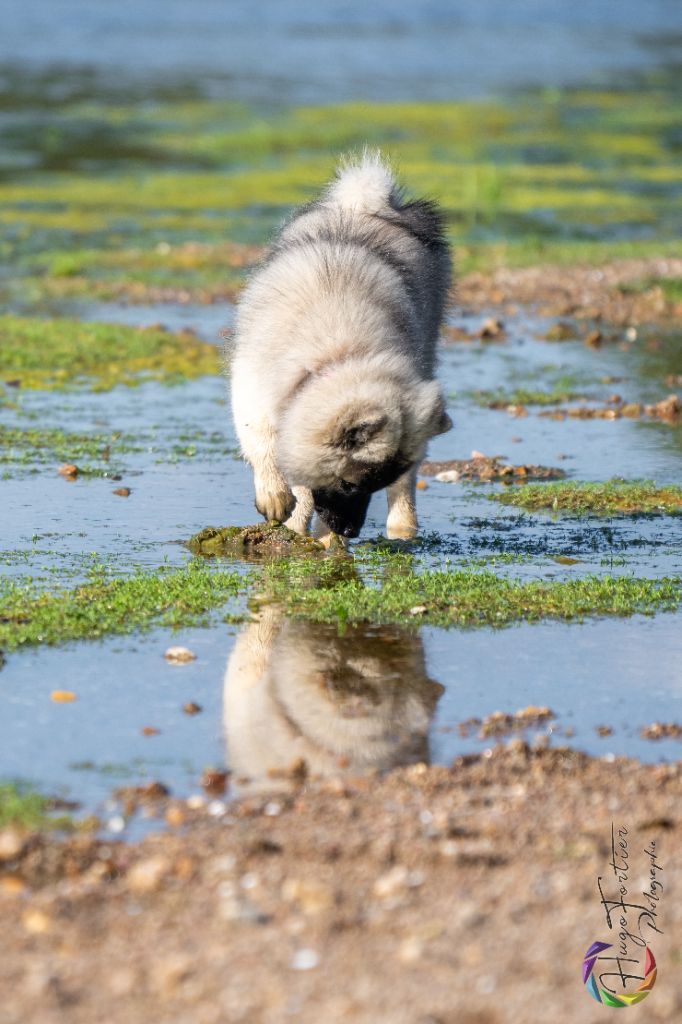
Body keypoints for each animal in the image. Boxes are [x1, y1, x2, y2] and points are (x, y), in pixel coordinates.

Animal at [229, 149, 450, 544]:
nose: (351, 529)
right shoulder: (252, 387)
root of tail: (361, 204)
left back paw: (402, 527)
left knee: (408, 484)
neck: (339, 353)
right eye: (348, 485)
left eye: (370, 487)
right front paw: (275, 498)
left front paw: (325, 538)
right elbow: (263, 444)